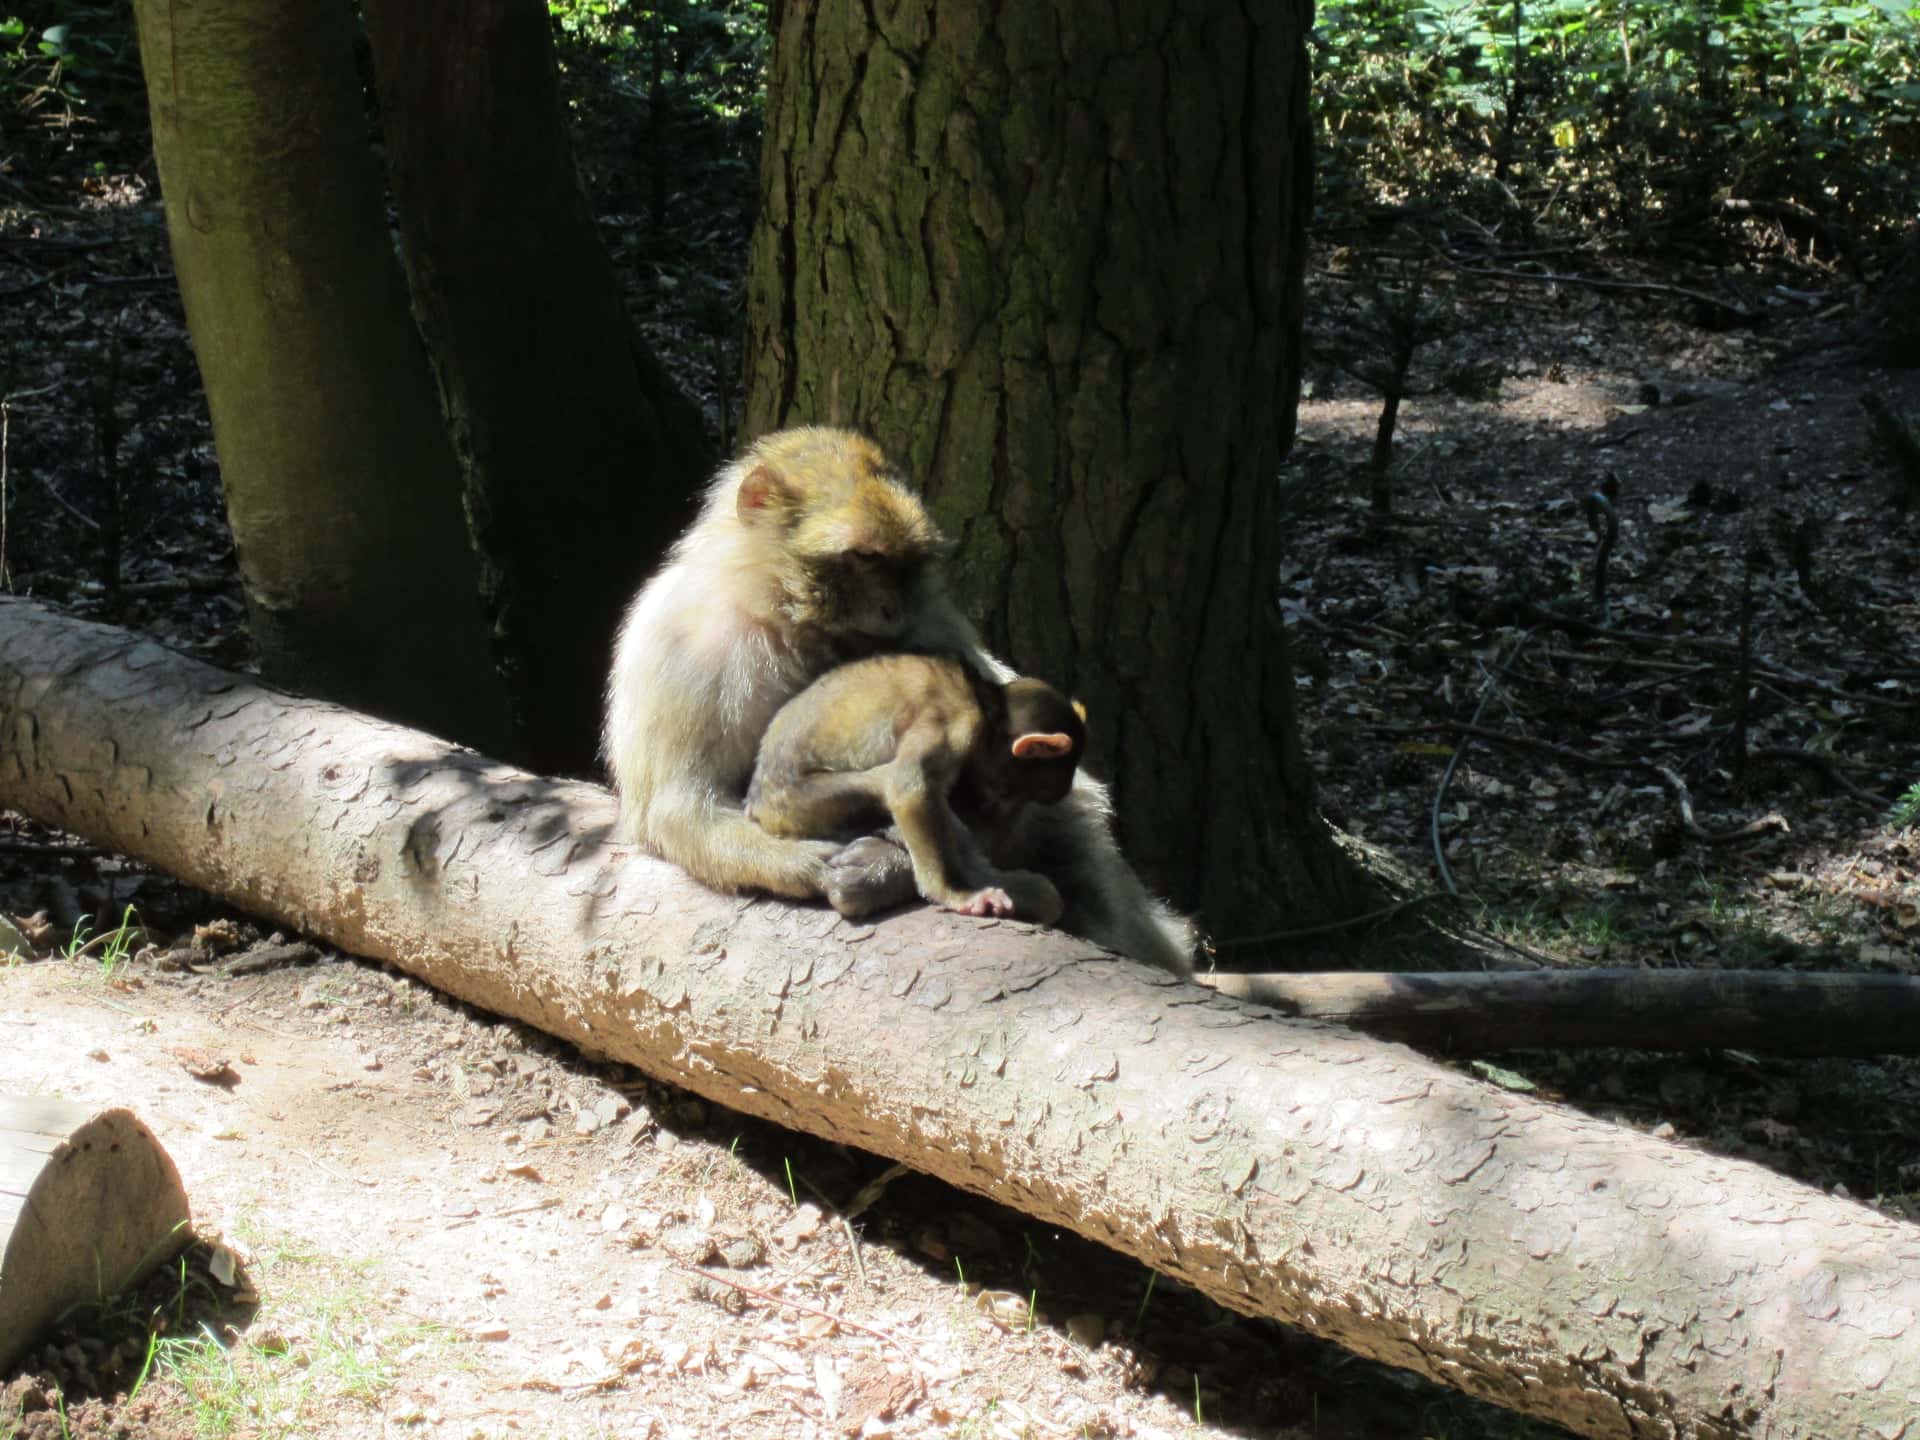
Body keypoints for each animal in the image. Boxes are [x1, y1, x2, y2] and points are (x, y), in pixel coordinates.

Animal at [744, 653, 1086, 923]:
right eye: (1016, 793)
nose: (999, 810)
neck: (986, 707)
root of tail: (757, 802)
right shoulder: (955, 726)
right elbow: (909, 786)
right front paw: (951, 892)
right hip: (798, 800)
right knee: (884, 780)